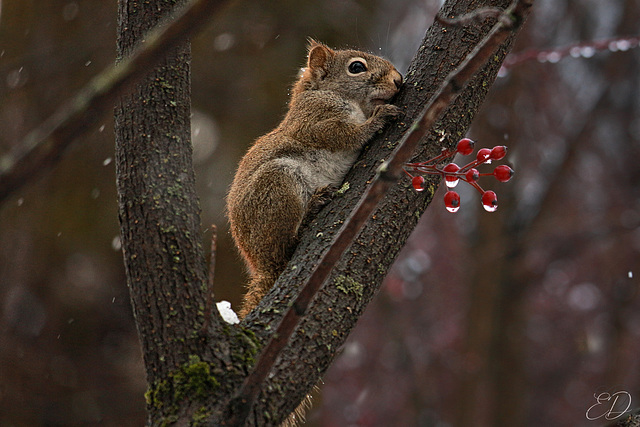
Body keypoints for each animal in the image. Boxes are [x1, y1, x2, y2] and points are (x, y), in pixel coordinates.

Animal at [228, 40, 402, 320]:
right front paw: (377, 119)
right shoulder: (312, 121)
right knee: (288, 244)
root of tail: (262, 265)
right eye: (356, 67)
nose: (398, 80)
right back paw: (312, 208)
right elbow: (343, 134)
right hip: (278, 184)